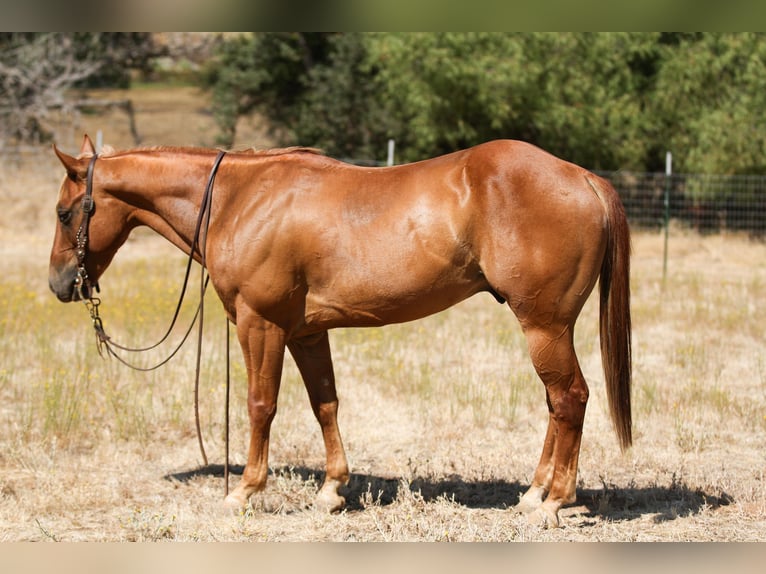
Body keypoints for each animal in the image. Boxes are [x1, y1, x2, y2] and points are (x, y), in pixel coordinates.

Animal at [49, 135, 631, 528]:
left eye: (64, 212)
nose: (59, 284)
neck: (242, 199)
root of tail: (583, 177)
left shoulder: (261, 325)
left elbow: (260, 405)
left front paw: (243, 492)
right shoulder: (306, 332)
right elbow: (324, 403)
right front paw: (332, 490)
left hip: (543, 325)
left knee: (570, 398)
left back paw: (554, 502)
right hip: (547, 328)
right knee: (557, 404)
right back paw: (533, 494)